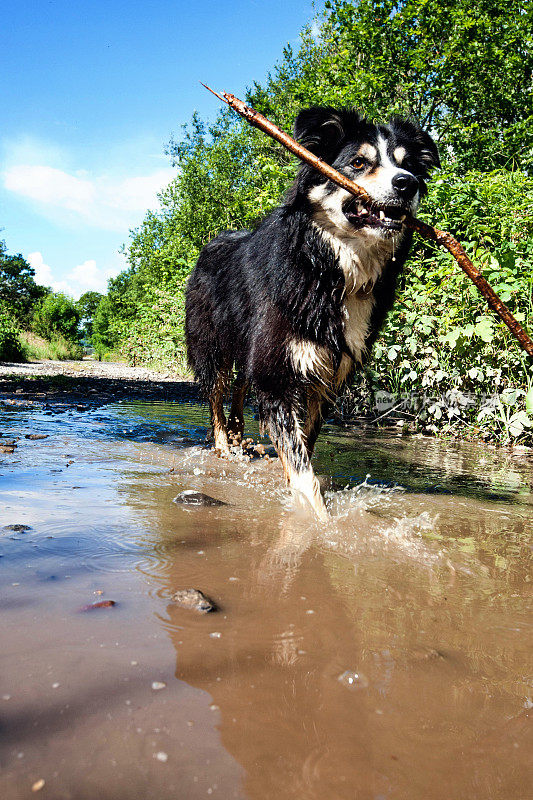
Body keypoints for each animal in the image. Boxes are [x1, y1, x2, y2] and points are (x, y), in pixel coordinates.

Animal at [183, 106, 436, 520]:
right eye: (358, 162)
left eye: (407, 165)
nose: (407, 184)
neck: (334, 270)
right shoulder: (277, 371)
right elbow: (302, 466)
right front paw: (318, 521)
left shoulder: (327, 374)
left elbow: (305, 443)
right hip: (211, 343)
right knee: (217, 394)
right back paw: (223, 445)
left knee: (239, 386)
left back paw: (239, 434)